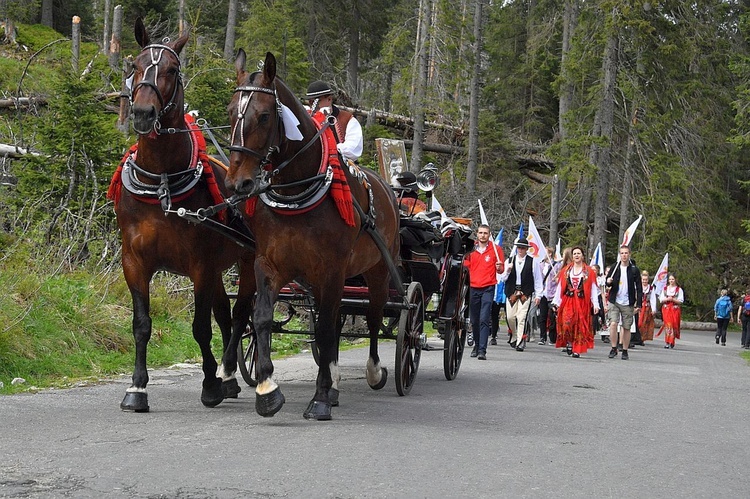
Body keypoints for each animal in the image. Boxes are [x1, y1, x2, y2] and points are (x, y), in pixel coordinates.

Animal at [111, 17, 258, 412]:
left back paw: (226, 372)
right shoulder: (134, 262)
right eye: (135, 65)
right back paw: (228, 379)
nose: (143, 113)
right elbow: (142, 324)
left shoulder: (200, 265)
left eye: (172, 70)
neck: (161, 181)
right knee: (225, 313)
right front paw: (137, 389)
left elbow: (200, 328)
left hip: (249, 261)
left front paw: (209, 385)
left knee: (240, 315)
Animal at [223, 50, 400, 420]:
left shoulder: (331, 270)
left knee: (374, 316)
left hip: (378, 270)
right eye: (231, 111)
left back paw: (373, 371)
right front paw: (267, 389)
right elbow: (262, 318)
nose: (237, 183)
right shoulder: (268, 264)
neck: (297, 193)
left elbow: (325, 330)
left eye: (264, 116)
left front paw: (319, 399)